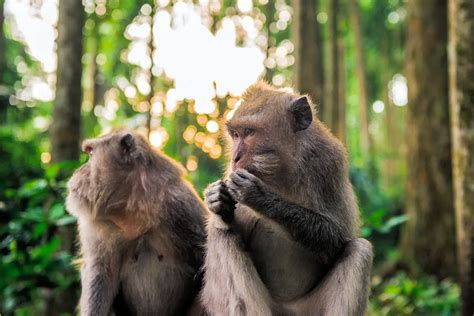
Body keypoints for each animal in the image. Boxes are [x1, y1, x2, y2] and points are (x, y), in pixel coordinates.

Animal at [66, 131, 207, 316]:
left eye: (90, 153)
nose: (78, 171)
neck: (132, 209)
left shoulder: (181, 207)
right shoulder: (94, 226)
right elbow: (100, 272)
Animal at [200, 82, 374, 316]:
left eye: (249, 132)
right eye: (235, 134)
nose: (235, 157)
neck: (280, 170)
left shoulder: (328, 163)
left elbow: (335, 241)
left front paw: (259, 196)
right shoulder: (232, 172)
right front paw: (216, 199)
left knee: (359, 250)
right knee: (224, 237)